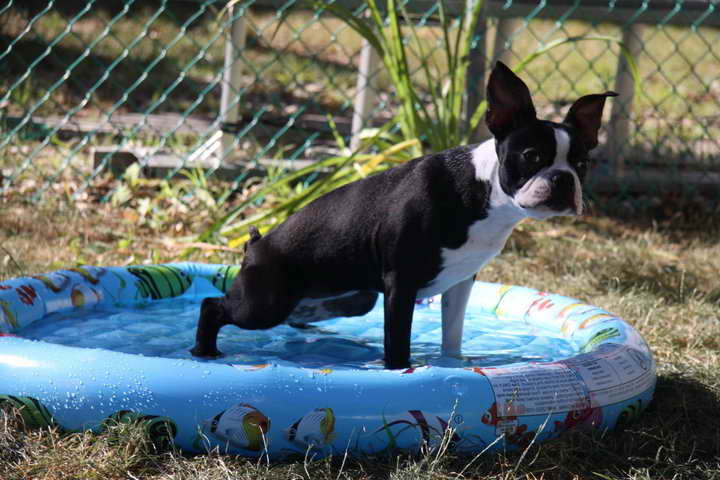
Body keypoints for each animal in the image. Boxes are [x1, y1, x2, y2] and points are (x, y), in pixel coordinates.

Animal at [194, 60, 616, 368]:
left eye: (582, 164)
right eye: (532, 157)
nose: (563, 178)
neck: (485, 194)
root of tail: (256, 245)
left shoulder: (460, 282)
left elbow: (452, 334)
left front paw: (453, 365)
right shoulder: (401, 283)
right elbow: (397, 341)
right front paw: (401, 372)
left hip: (352, 297)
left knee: (300, 313)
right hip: (264, 303)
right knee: (213, 306)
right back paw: (204, 351)